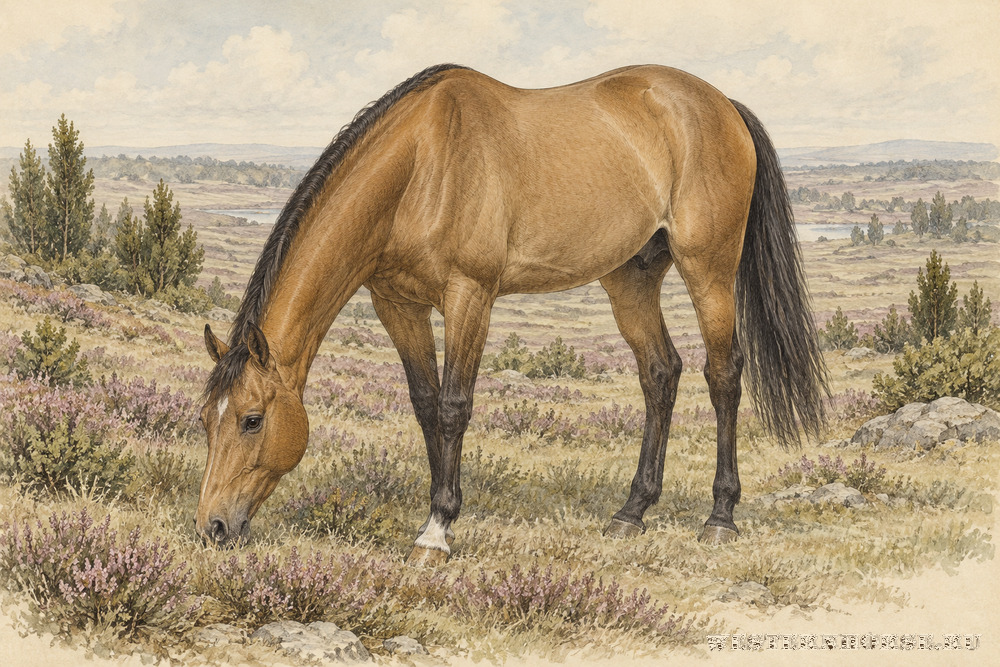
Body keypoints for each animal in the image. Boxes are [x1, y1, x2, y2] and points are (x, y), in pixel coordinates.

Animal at [196, 64, 828, 564]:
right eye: (205, 419)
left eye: (252, 419)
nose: (213, 527)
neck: (421, 166)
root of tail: (722, 105)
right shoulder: (397, 303)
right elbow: (425, 406)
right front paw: (436, 514)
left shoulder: (469, 295)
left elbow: (454, 406)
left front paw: (437, 531)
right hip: (631, 277)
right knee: (660, 373)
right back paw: (631, 511)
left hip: (709, 268)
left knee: (723, 375)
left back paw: (720, 518)